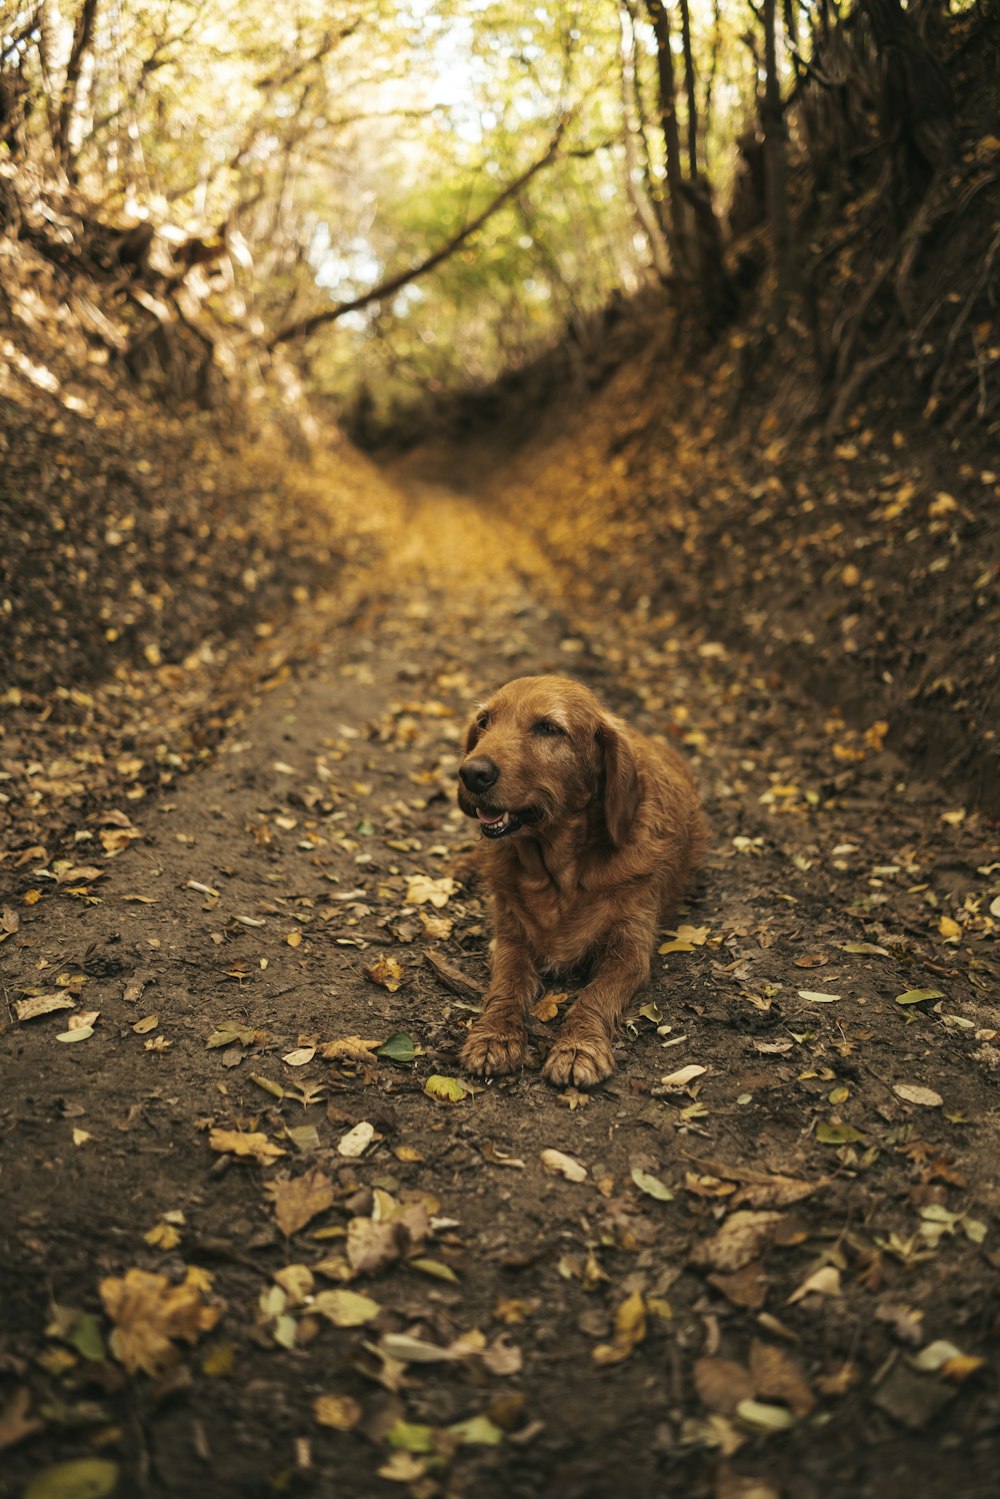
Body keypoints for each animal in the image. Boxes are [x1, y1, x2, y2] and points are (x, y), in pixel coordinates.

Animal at [458, 680, 707, 1091]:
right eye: (484, 721)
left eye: (547, 728)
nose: (471, 773)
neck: (558, 873)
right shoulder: (510, 939)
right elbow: (506, 986)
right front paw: (494, 1036)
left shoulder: (629, 950)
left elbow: (594, 997)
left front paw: (578, 1048)